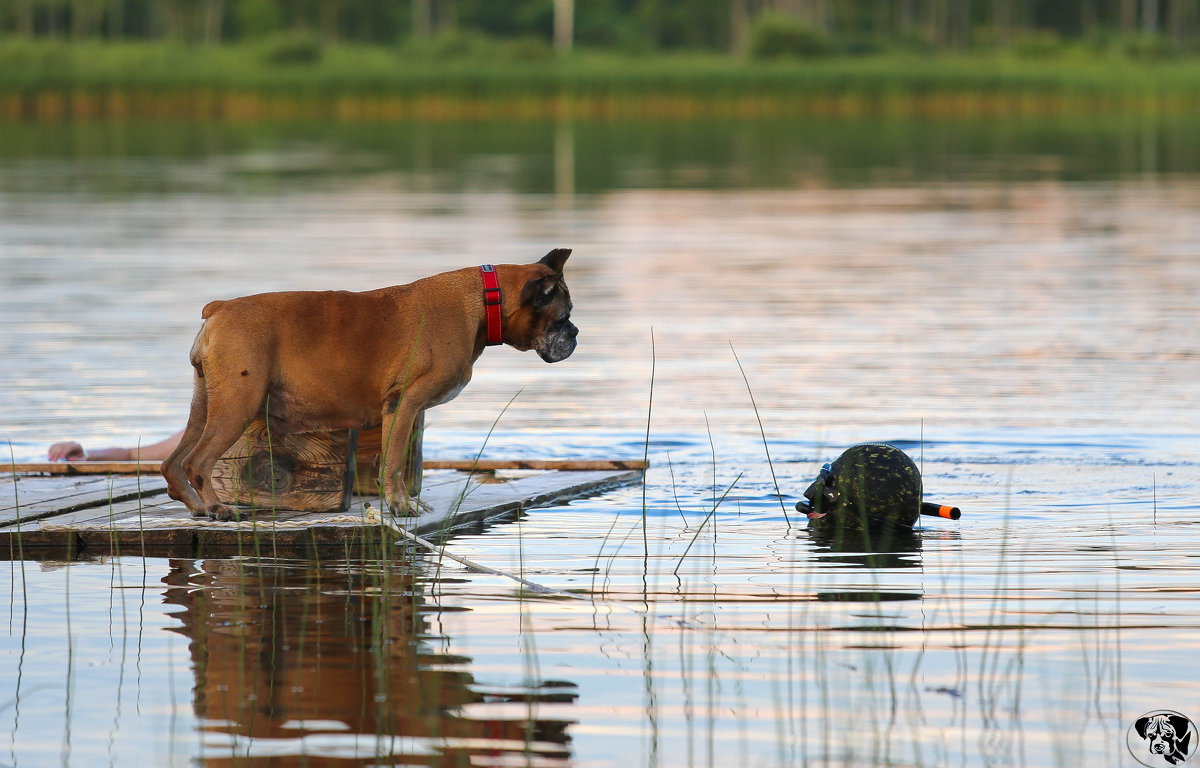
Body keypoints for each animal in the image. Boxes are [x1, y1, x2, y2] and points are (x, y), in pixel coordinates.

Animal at [163, 249, 576, 518]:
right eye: (563, 316)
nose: (575, 333)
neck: (484, 300)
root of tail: (219, 308)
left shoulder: (408, 410)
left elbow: (396, 461)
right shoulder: (403, 404)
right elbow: (392, 463)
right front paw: (400, 506)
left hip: (206, 405)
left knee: (172, 463)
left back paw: (198, 507)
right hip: (237, 405)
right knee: (197, 461)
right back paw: (216, 507)